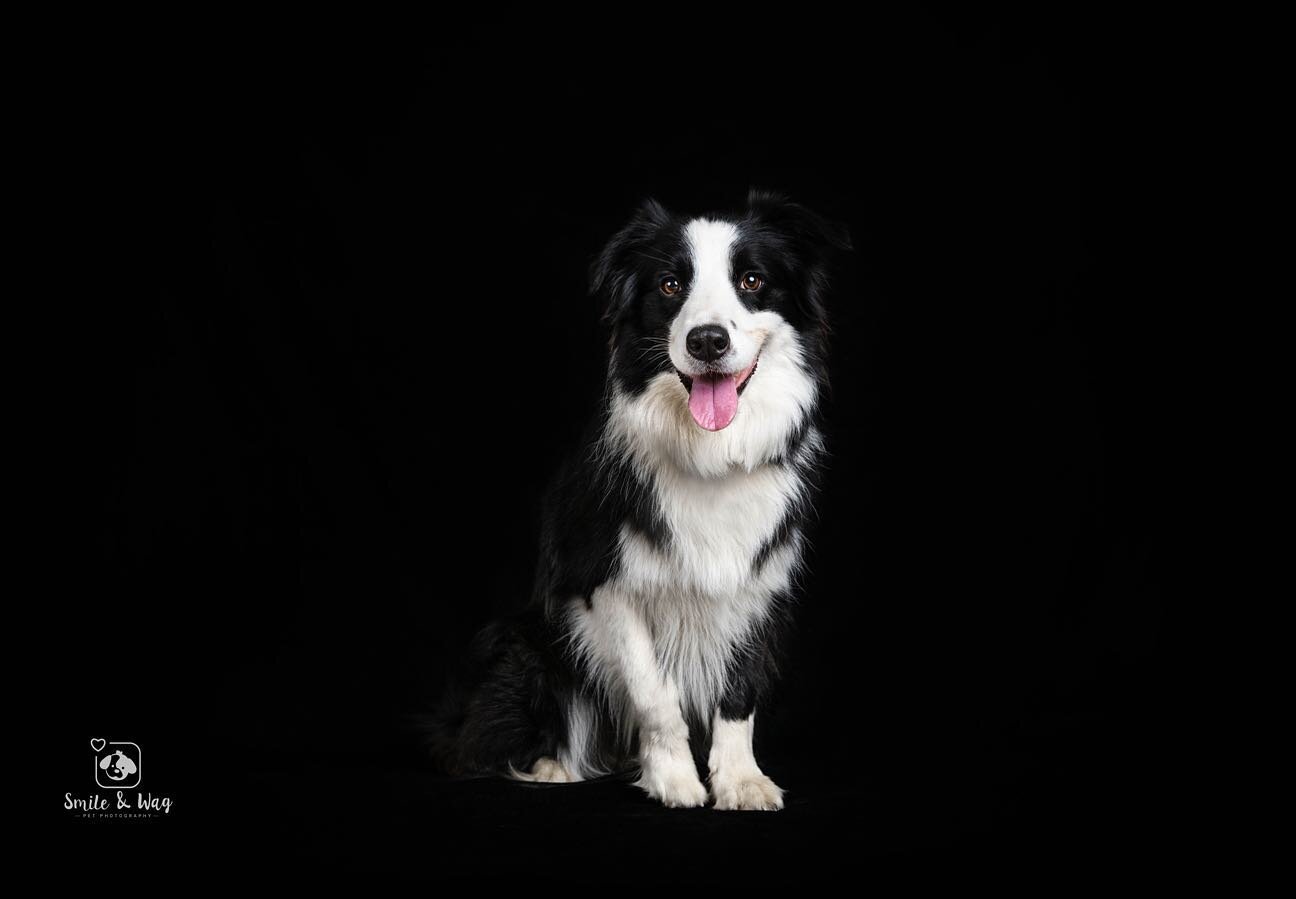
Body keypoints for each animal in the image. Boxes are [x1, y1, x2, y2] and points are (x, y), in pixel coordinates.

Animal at [425, 187, 850, 808]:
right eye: (670, 286)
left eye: (751, 280)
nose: (707, 340)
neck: (709, 455)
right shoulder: (604, 584)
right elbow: (655, 696)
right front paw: (675, 781)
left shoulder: (757, 581)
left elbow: (738, 693)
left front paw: (740, 781)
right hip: (525, 642)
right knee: (482, 740)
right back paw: (551, 766)